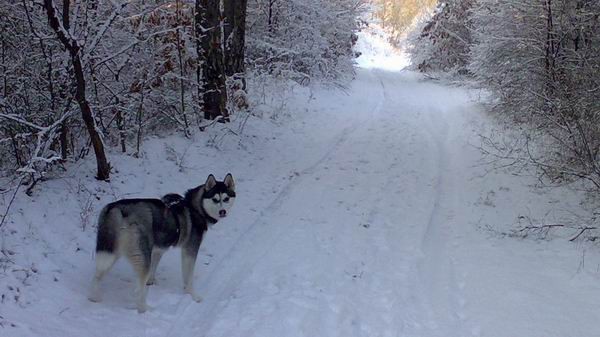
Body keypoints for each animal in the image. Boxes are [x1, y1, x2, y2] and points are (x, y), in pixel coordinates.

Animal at [88, 173, 236, 312]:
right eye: (215, 199)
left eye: (226, 199)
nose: (222, 212)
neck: (196, 208)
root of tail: (116, 208)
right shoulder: (190, 249)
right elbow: (188, 277)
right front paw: (193, 296)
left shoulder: (159, 249)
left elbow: (154, 269)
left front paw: (151, 282)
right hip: (139, 256)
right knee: (138, 289)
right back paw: (145, 309)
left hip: (112, 251)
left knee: (97, 275)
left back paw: (94, 298)